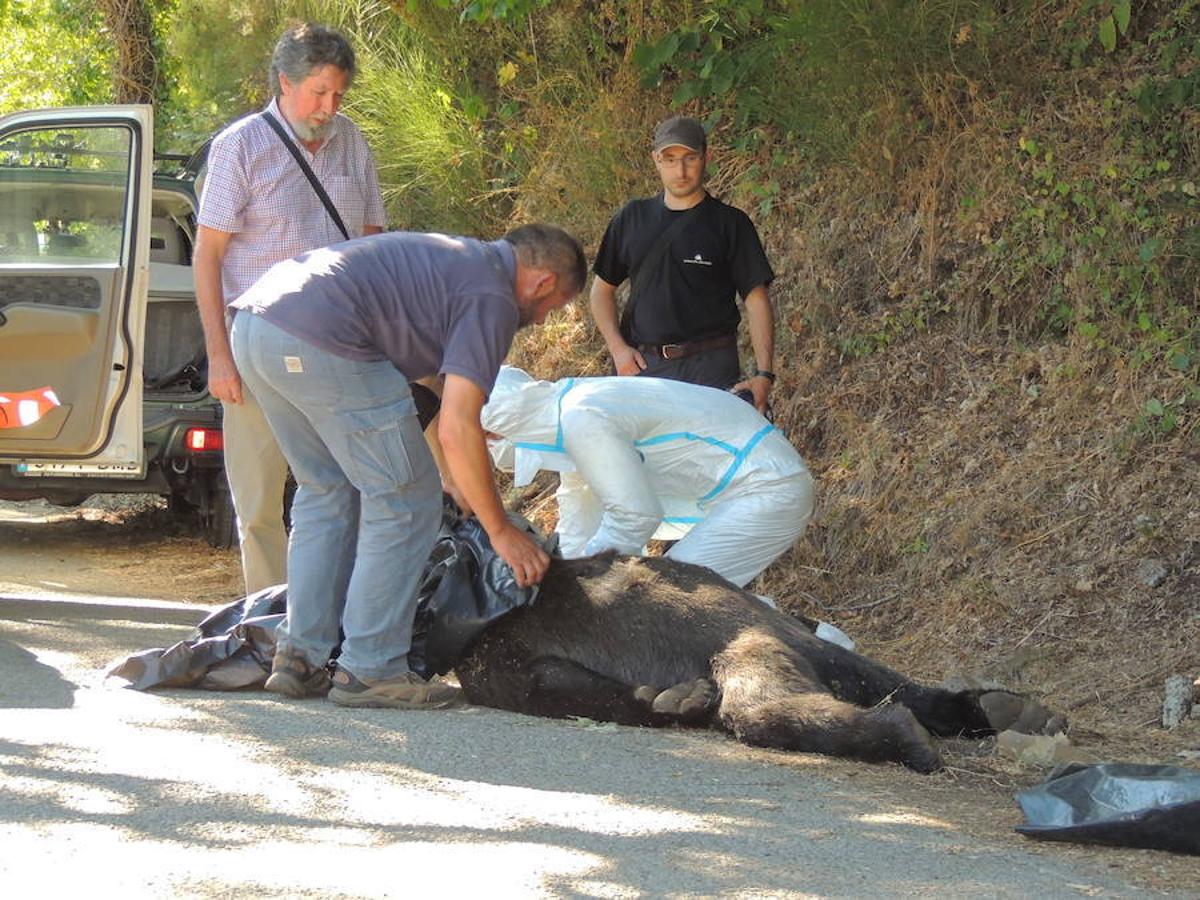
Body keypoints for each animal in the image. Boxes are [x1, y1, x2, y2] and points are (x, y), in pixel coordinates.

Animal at [453, 549, 1065, 777]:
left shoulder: (495, 659)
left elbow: (550, 685)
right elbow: (558, 686)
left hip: (759, 647)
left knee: (761, 710)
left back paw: (905, 734)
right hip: (803, 651)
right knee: (881, 683)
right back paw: (984, 711)